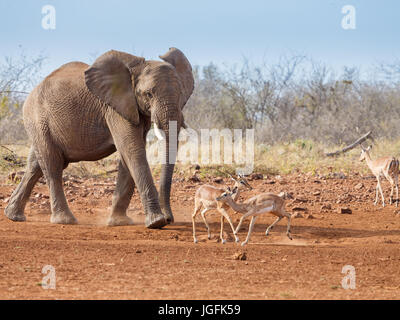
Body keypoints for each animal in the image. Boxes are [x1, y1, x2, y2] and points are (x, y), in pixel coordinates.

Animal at [3, 47, 195, 228]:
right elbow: (132, 150)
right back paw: (65, 220)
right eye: (148, 94)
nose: (169, 219)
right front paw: (156, 223)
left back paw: (13, 216)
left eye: (181, 94)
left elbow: (127, 154)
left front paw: (119, 222)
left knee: (35, 164)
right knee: (52, 165)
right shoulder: (114, 108)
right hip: (37, 118)